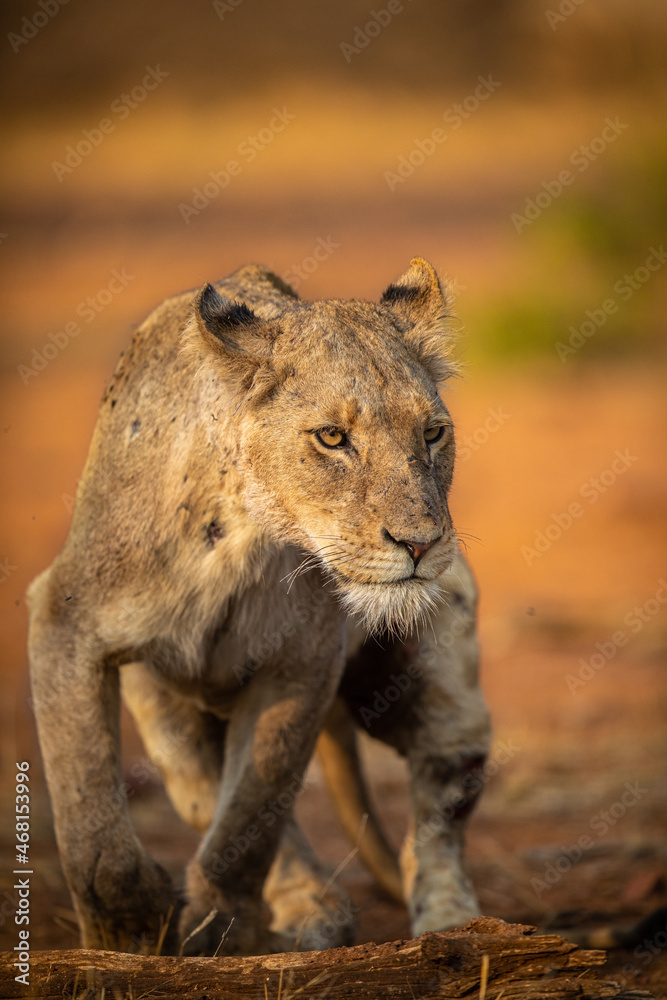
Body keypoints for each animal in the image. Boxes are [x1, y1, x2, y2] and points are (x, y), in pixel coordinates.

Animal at [27, 257, 491, 956]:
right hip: (169, 720)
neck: (244, 534)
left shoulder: (302, 665)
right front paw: (126, 931)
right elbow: (89, 804)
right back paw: (311, 907)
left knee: (438, 804)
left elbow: (251, 816)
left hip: (438, 681)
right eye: (333, 438)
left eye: (433, 433)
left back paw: (451, 924)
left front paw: (221, 926)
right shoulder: (65, 617)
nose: (420, 542)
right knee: (210, 792)